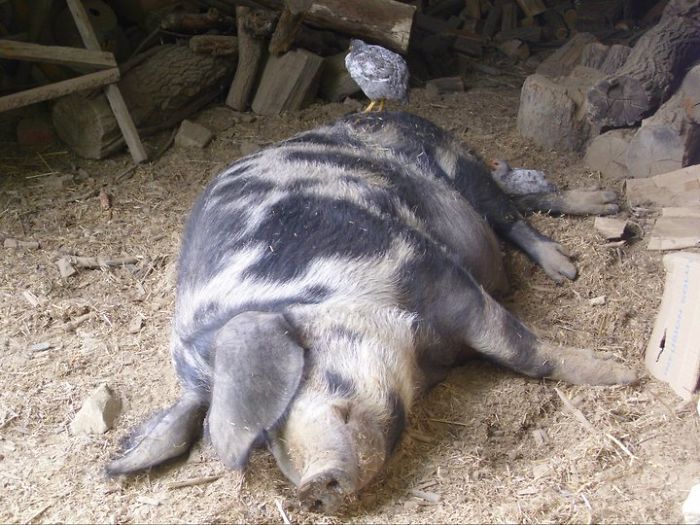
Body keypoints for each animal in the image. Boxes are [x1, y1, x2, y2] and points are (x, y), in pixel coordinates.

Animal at [107, 111, 635, 513]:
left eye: (300, 381)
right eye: (263, 445)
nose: (308, 489)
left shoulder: (427, 268)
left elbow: (520, 349)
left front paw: (624, 374)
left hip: (452, 157)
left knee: (506, 209)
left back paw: (567, 267)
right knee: (519, 197)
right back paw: (607, 204)